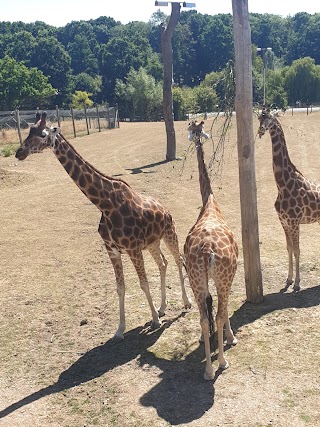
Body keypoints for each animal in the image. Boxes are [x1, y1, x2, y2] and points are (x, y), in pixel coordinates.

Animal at [15, 113, 190, 342]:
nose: (19, 152)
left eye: (42, 134)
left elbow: (143, 283)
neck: (105, 205)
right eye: (29, 131)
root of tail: (166, 209)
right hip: (152, 243)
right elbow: (120, 287)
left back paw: (186, 303)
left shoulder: (133, 249)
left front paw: (154, 320)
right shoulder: (112, 250)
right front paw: (120, 329)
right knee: (163, 263)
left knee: (178, 260)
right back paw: (162, 307)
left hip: (170, 233)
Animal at [256, 108, 320, 292]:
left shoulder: (294, 221)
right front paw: (288, 280)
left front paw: (297, 283)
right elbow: (289, 248)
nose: (261, 130)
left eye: (269, 118)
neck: (282, 185)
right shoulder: (283, 221)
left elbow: (297, 250)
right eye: (259, 117)